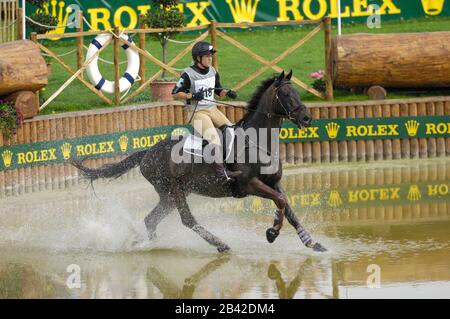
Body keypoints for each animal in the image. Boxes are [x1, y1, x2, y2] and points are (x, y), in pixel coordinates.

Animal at [74, 71, 326, 254]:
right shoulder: (250, 185)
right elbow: (281, 202)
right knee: (187, 220)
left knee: (151, 219)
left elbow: (288, 208)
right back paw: (220, 244)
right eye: (286, 95)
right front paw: (272, 233)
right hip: (174, 189)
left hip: (171, 195)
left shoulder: (274, 183)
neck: (258, 142)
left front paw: (311, 242)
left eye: (297, 92)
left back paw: (148, 243)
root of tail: (147, 153)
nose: (306, 118)